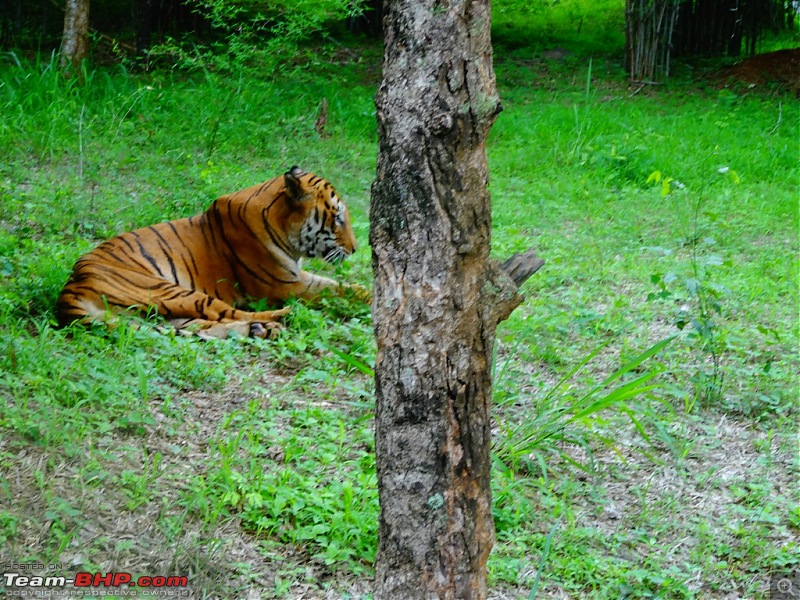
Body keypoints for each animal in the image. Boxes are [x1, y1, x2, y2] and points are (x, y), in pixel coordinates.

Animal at [56, 166, 368, 340]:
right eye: (338, 218)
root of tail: (69, 289)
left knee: (205, 326)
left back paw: (261, 330)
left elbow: (341, 285)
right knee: (229, 313)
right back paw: (281, 318)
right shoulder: (286, 284)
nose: (354, 249)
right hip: (173, 291)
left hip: (164, 313)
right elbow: (335, 290)